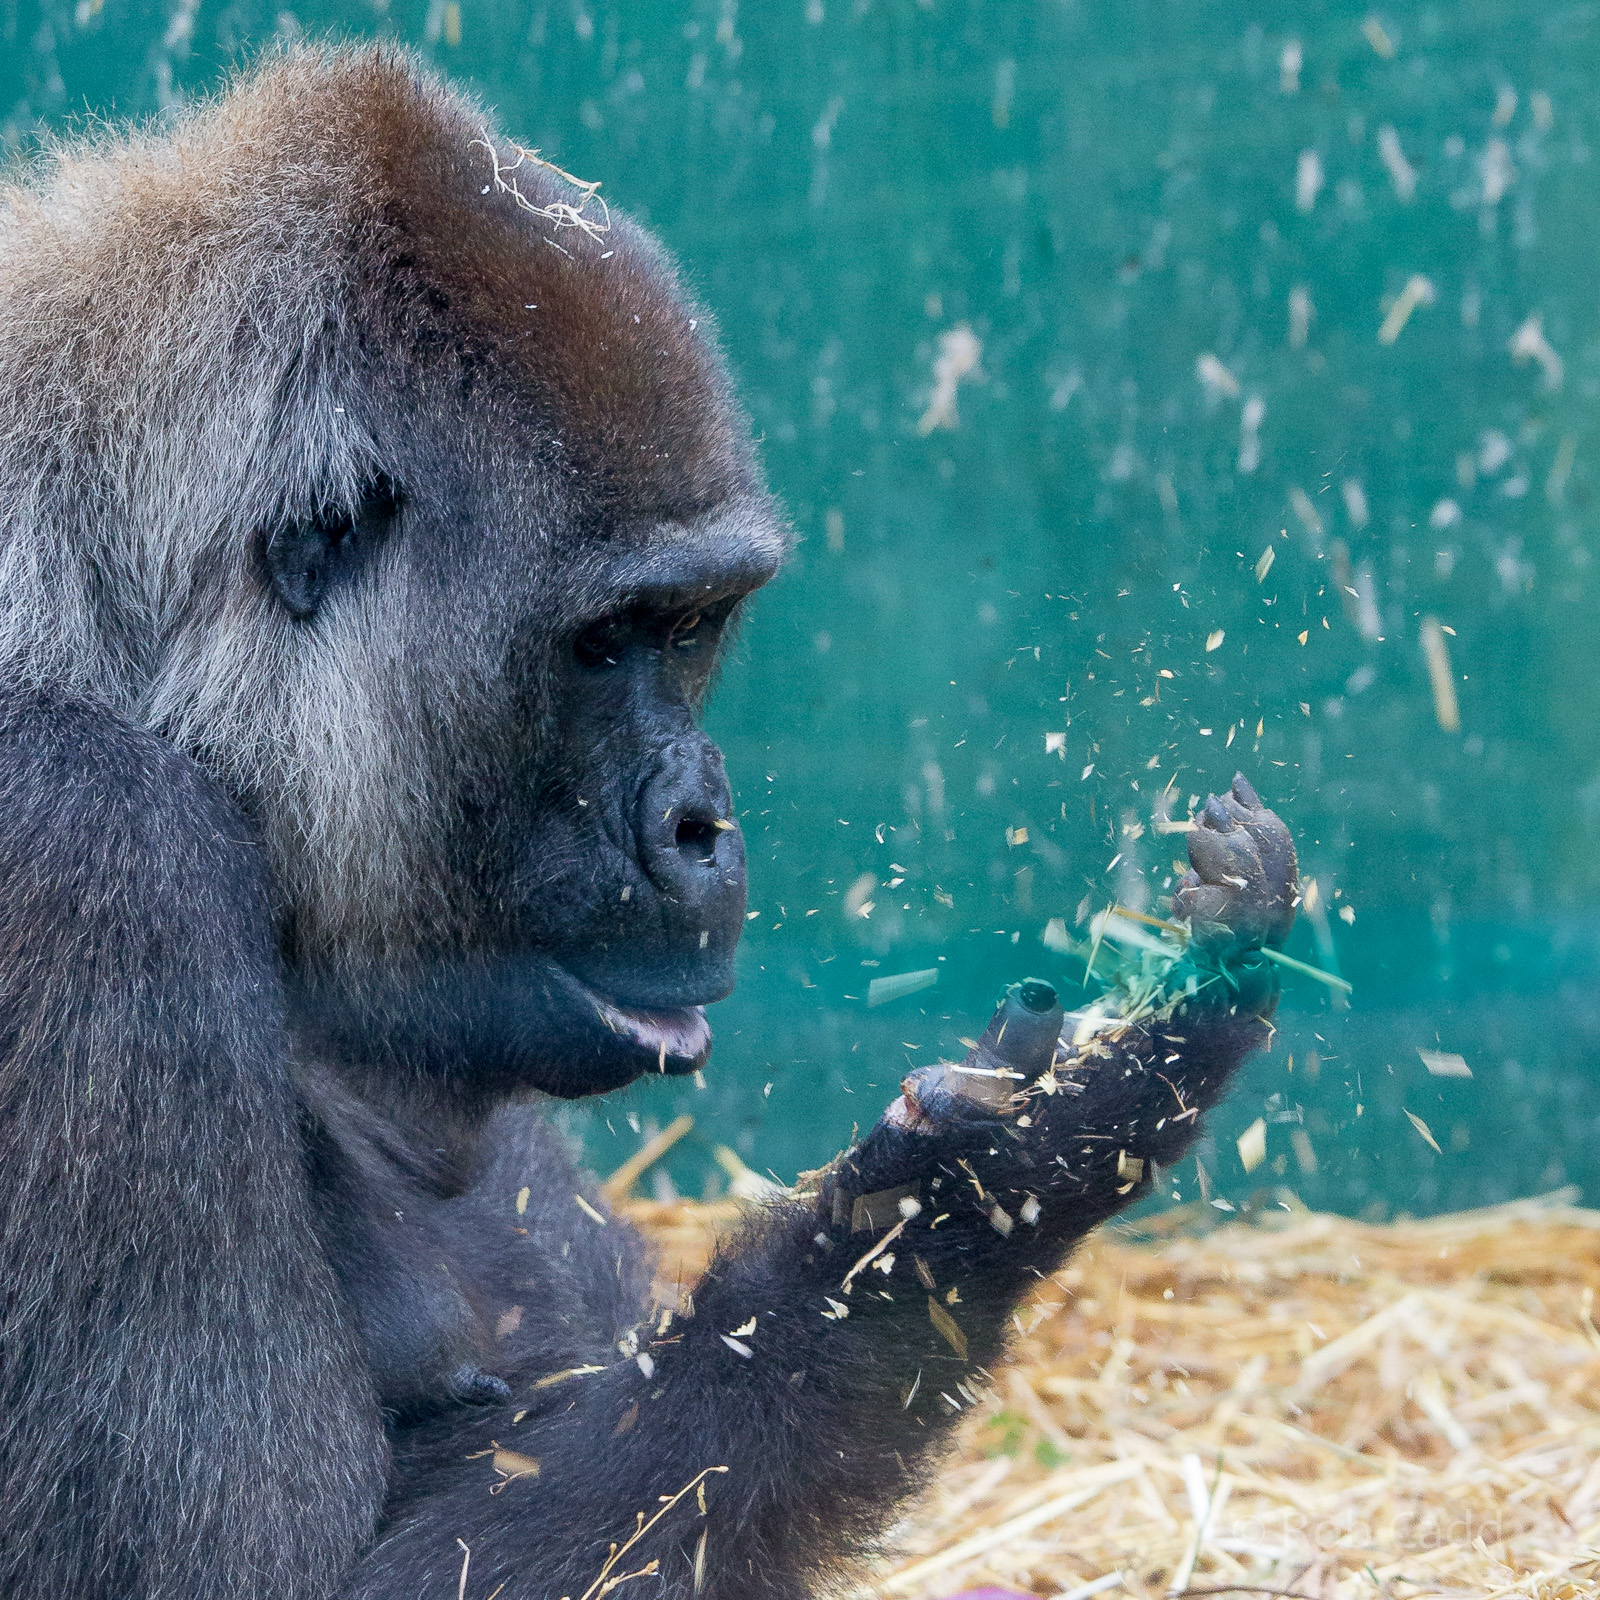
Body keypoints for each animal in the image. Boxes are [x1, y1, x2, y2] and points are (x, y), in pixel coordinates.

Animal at [0, 45, 1296, 1600]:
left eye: (691, 630)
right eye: (606, 640)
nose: (704, 821)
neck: (121, 637)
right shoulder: (84, 845)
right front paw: (963, 1202)